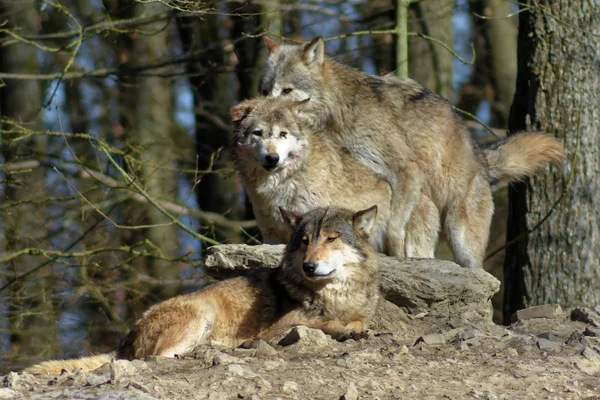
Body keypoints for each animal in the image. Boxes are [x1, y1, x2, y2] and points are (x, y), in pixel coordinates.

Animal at [25, 206, 380, 376]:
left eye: (331, 239)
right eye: (305, 241)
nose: (309, 266)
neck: (333, 294)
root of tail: (124, 341)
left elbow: (358, 321)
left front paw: (356, 328)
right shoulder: (276, 330)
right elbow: (321, 322)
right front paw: (343, 329)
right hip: (201, 313)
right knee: (161, 356)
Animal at [260, 36, 564, 268]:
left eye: (286, 90)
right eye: (265, 91)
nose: (268, 110)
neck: (342, 107)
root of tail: (481, 159)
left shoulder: (407, 170)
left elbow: (395, 228)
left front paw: (396, 256)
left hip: (460, 235)